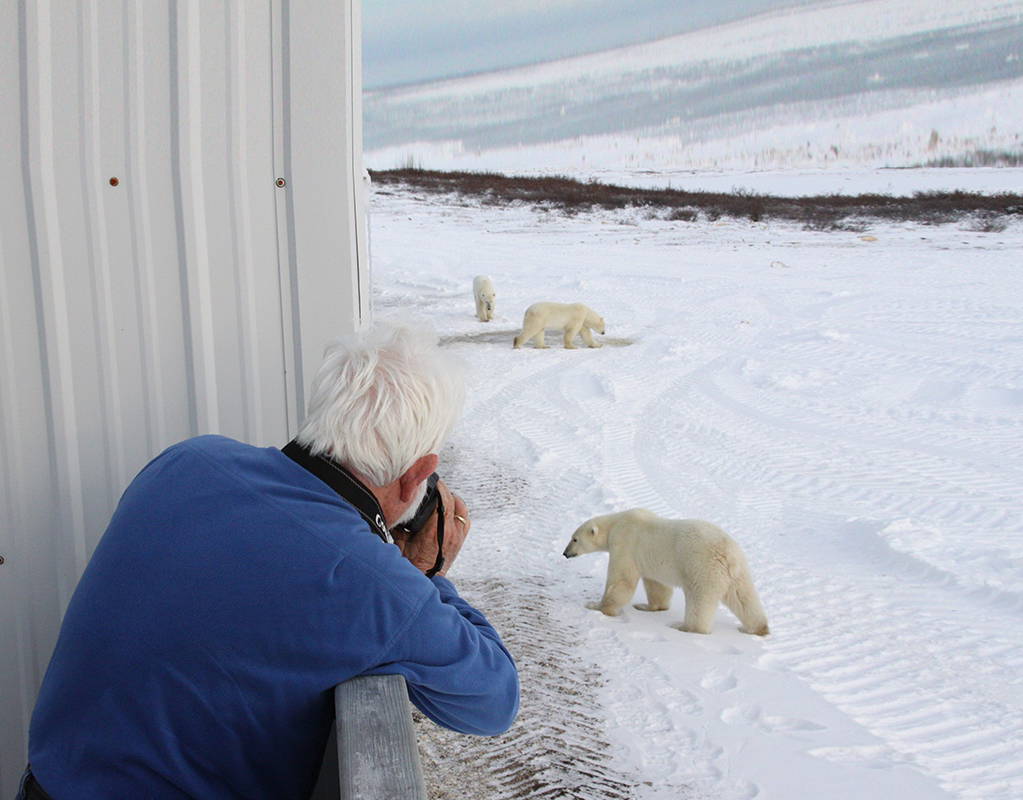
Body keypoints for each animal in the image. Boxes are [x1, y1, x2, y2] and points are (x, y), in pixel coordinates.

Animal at [564, 511, 769, 634]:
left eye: (574, 539)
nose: (565, 553)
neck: (615, 523)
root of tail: (728, 554)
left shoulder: (625, 542)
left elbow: (622, 579)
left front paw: (597, 606)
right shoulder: (650, 562)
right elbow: (657, 585)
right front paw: (648, 606)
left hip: (702, 567)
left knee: (699, 599)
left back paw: (684, 627)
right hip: (738, 571)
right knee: (743, 597)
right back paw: (756, 628)